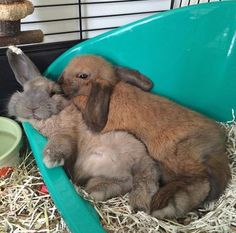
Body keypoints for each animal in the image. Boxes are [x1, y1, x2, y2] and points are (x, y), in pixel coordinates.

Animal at [6, 46, 160, 215]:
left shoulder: (65, 134)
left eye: (52, 93)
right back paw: (97, 191)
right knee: (126, 181)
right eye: (24, 91)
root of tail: (145, 158)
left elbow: (59, 144)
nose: (32, 107)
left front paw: (50, 160)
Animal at [58, 54, 230, 218]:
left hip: (179, 160)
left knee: (201, 182)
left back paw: (164, 203)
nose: (59, 81)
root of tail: (217, 145)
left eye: (82, 75)